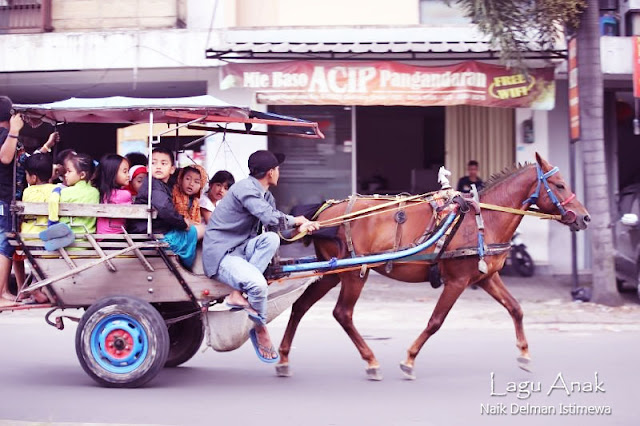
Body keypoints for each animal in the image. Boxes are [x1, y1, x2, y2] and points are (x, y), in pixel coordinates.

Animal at [278, 153, 592, 380]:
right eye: (560, 185)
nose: (585, 218)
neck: (484, 219)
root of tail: (323, 211)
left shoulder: (486, 277)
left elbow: (515, 308)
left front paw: (524, 355)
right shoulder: (457, 281)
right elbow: (435, 321)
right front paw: (409, 359)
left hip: (331, 272)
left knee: (301, 306)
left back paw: (283, 357)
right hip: (355, 272)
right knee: (342, 313)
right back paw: (370, 361)